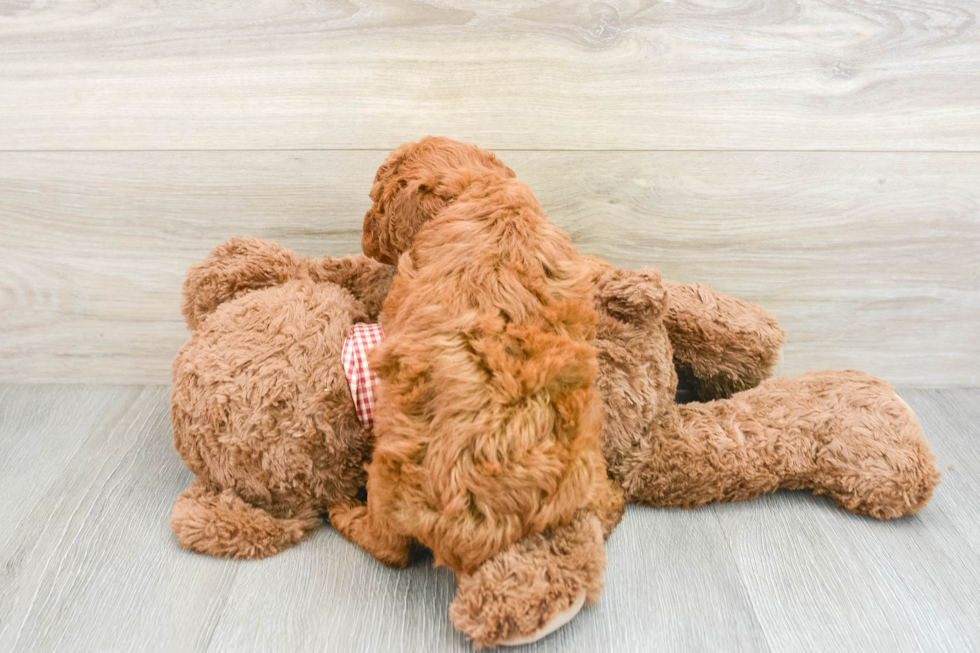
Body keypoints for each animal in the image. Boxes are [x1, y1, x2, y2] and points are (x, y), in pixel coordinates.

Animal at [330, 136, 620, 572]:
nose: (363, 236)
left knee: (390, 548)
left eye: (376, 202)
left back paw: (344, 512)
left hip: (388, 466)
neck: (479, 188)